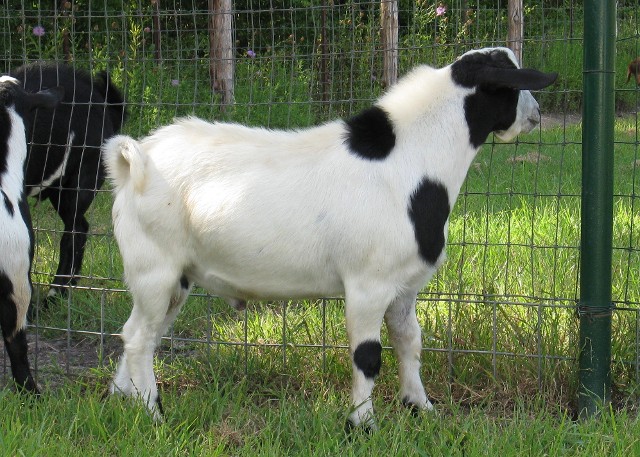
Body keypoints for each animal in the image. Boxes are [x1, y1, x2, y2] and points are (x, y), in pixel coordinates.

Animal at [104, 48, 556, 426]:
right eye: (512, 83)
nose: (537, 113)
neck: (412, 161)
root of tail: (135, 159)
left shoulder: (406, 285)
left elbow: (409, 341)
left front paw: (421, 407)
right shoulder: (368, 283)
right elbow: (367, 355)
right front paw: (363, 424)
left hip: (177, 275)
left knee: (144, 333)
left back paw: (123, 399)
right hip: (154, 266)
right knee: (139, 336)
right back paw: (154, 414)